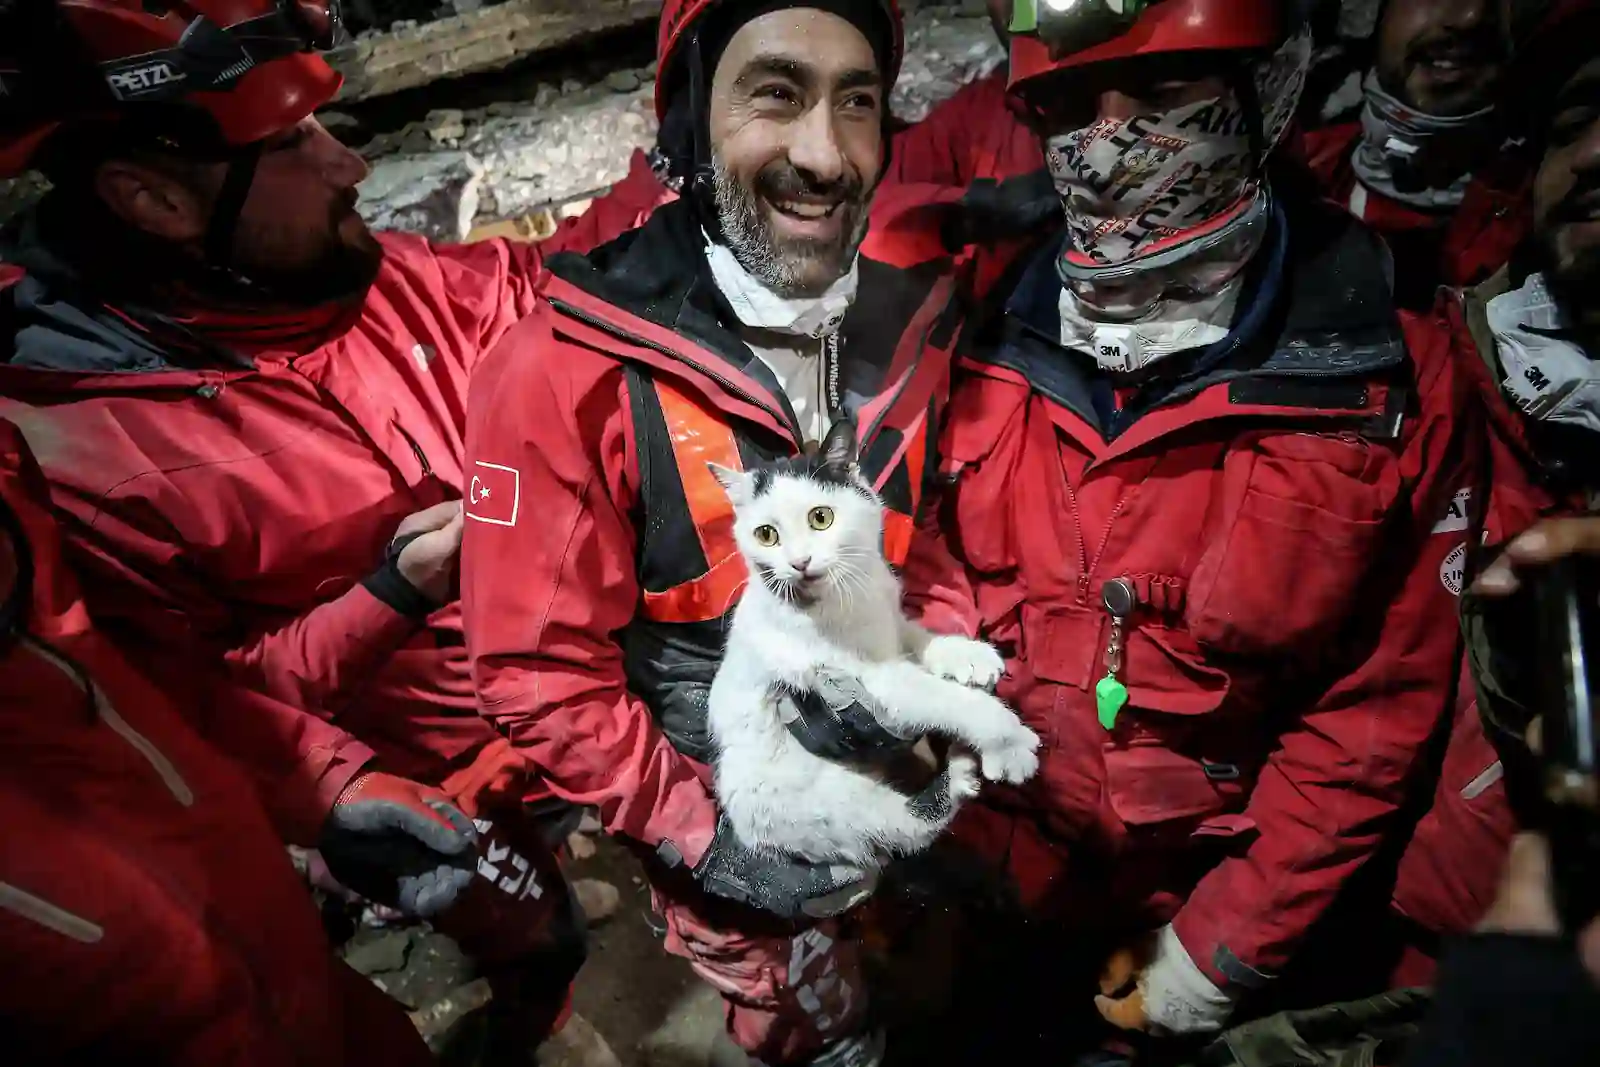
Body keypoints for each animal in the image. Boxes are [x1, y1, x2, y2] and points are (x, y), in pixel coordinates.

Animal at [707, 422, 1043, 870]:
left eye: (821, 517)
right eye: (766, 535)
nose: (799, 563)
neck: (850, 593)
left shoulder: (892, 623)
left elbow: (920, 637)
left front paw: (967, 655)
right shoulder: (868, 677)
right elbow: (948, 699)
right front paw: (1011, 743)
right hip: (816, 803)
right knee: (907, 828)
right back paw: (956, 777)